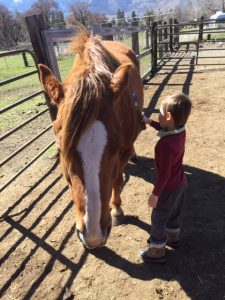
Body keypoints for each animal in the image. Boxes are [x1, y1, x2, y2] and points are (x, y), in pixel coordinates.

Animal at [38, 29, 144, 248]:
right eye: (60, 148)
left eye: (116, 145)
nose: (93, 234)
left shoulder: (123, 150)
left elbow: (117, 180)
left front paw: (117, 210)